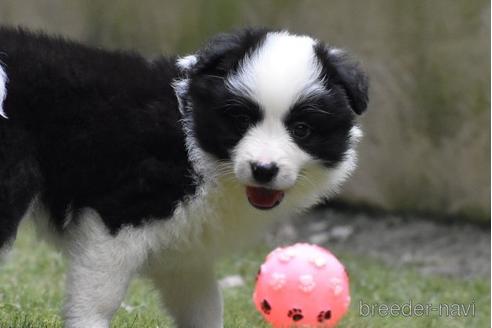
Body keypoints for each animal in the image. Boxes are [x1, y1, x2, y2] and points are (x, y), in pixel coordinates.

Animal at [0, 26, 368, 326]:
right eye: (240, 120)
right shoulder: (120, 216)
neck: (194, 145)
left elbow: (205, 303)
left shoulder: (184, 247)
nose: (264, 170)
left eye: (301, 129)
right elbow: (99, 297)